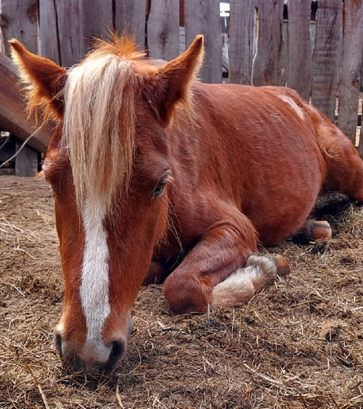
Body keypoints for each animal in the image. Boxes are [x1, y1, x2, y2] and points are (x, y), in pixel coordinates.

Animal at [9, 35, 363, 372]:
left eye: (159, 185)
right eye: (51, 179)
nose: (88, 349)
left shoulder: (235, 227)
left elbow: (182, 287)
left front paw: (265, 267)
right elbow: (155, 271)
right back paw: (311, 228)